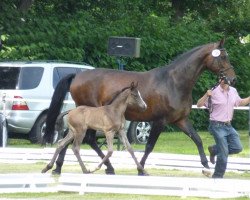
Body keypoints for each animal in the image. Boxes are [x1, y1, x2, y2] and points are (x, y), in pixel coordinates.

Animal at [43, 39, 236, 175]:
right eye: (223, 57)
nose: (232, 79)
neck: (174, 82)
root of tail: (77, 76)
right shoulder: (160, 121)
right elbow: (149, 146)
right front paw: (141, 169)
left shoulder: (180, 120)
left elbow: (197, 139)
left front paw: (206, 164)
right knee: (85, 139)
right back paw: (104, 167)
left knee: (71, 139)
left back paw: (58, 168)